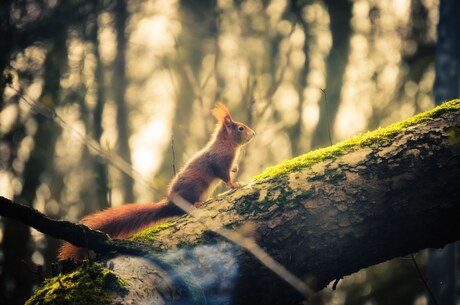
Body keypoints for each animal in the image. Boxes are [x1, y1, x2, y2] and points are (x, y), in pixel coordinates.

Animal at [57, 102, 255, 258]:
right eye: (240, 128)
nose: (253, 133)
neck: (226, 143)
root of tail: (169, 203)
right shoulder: (219, 161)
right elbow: (224, 175)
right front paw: (234, 183)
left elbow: (230, 170)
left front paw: (236, 170)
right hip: (195, 186)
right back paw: (195, 204)